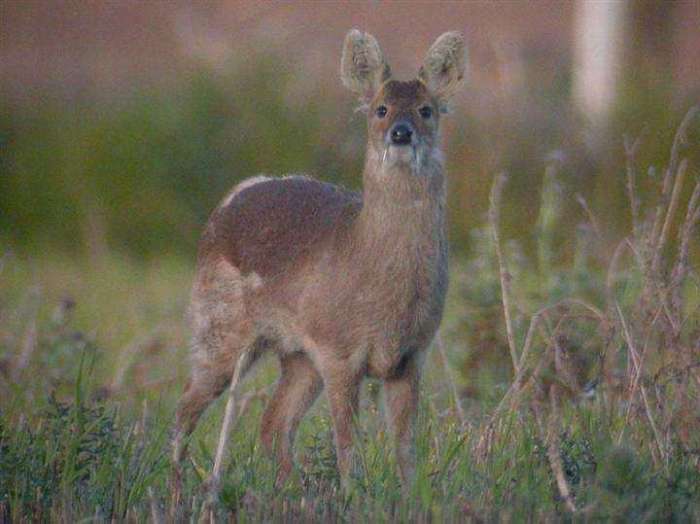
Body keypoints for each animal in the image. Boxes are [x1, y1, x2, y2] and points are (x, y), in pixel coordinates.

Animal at [171, 28, 464, 500]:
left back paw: (291, 491)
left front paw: (410, 499)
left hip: (296, 355)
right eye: (381, 108)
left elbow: (405, 449)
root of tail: (234, 195)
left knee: (272, 423)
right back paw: (179, 492)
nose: (401, 134)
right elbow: (347, 445)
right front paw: (355, 497)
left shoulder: (411, 354)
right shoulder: (337, 351)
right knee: (184, 410)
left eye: (427, 109)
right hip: (218, 327)